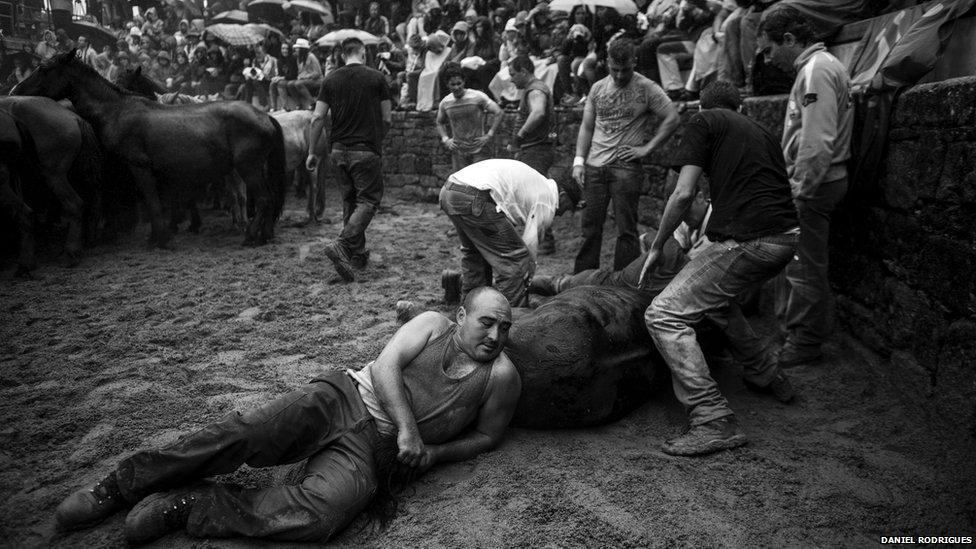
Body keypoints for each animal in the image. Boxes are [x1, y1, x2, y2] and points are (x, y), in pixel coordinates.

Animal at [13, 51, 288, 246]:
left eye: (44, 68)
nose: (15, 90)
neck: (118, 109)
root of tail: (264, 115)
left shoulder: (139, 165)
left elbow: (152, 201)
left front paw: (159, 238)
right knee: (270, 197)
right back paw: (264, 234)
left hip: (248, 167)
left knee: (264, 199)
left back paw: (251, 236)